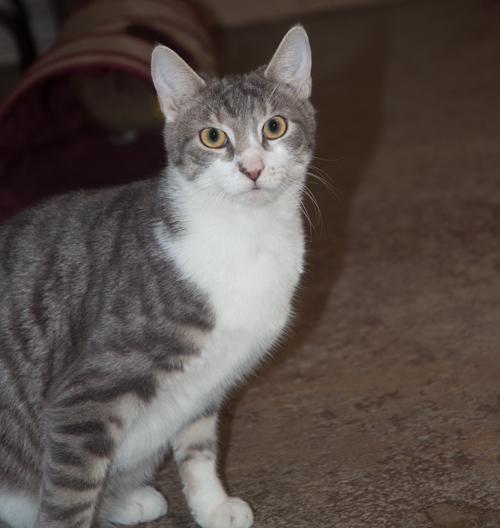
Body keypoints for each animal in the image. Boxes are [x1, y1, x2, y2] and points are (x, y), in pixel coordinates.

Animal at [0, 25, 314, 528]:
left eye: (275, 127)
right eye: (212, 136)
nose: (252, 167)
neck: (246, 237)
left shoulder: (206, 384)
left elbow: (198, 447)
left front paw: (212, 506)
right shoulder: (82, 400)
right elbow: (69, 495)